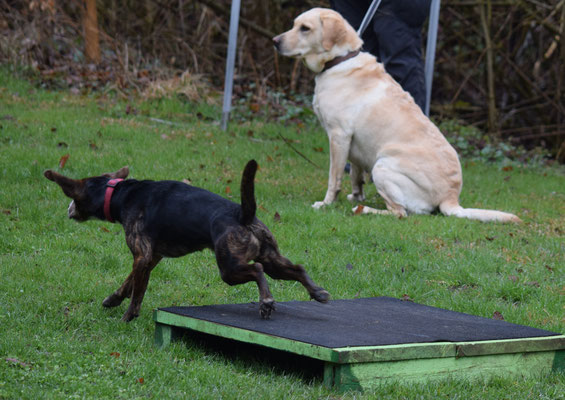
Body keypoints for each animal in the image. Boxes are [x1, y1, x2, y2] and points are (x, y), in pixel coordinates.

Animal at [44, 160, 328, 322]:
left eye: (73, 197)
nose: (68, 209)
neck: (120, 193)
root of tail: (242, 214)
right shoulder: (151, 258)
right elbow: (128, 283)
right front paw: (113, 299)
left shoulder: (142, 255)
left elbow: (137, 293)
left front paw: (127, 317)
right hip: (272, 259)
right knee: (297, 268)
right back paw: (317, 292)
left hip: (229, 267)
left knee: (257, 270)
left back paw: (266, 301)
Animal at [274, 7, 520, 223]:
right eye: (294, 25)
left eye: (305, 28)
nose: (275, 41)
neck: (340, 60)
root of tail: (451, 198)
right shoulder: (352, 144)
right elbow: (355, 175)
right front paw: (355, 195)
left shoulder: (338, 135)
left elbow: (334, 178)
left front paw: (326, 204)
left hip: (381, 166)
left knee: (400, 213)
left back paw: (364, 210)